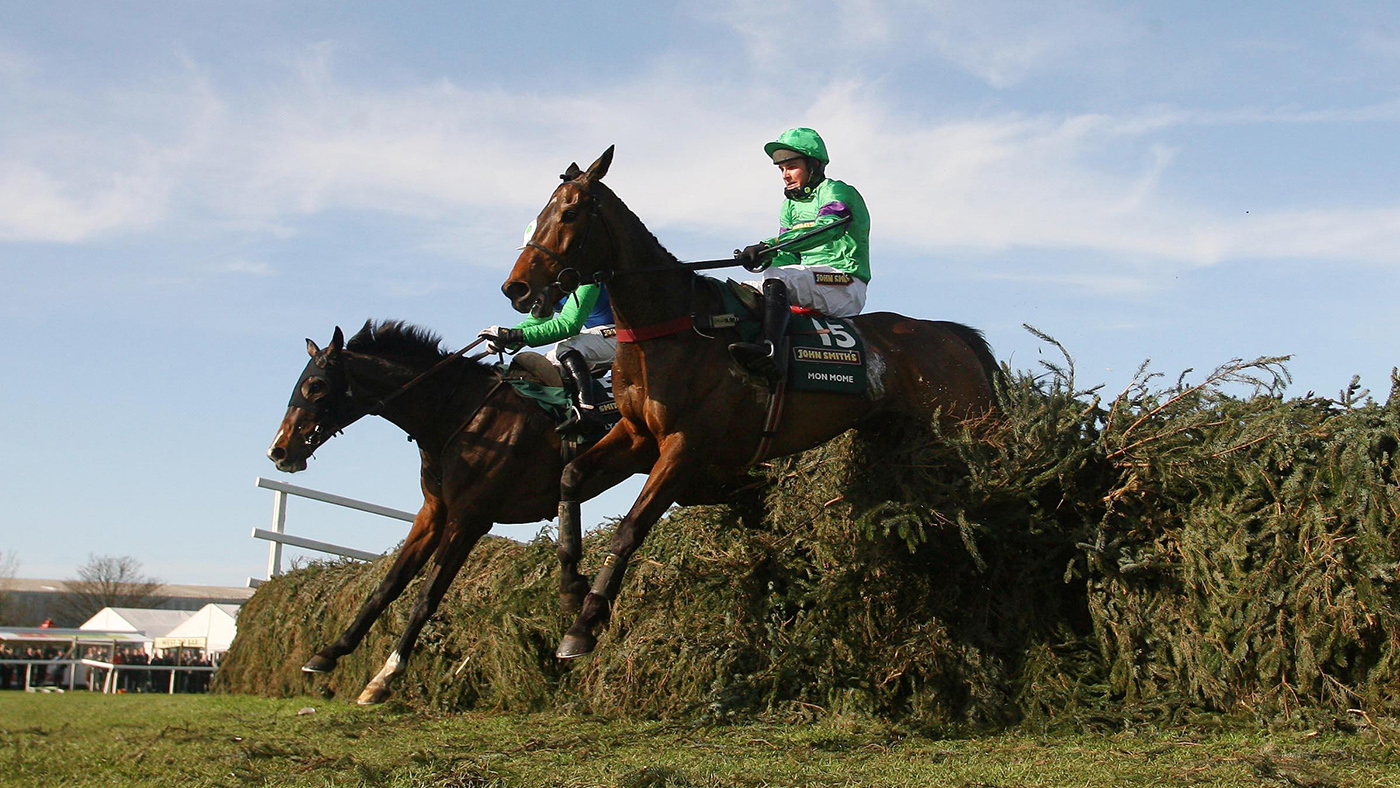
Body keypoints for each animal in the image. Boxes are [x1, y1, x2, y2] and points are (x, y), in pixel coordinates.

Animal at [267, 319, 752, 702]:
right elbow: (388, 585)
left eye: (315, 386)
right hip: (695, 478)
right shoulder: (433, 512)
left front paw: (385, 675)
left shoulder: (469, 518)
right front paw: (328, 652)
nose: (279, 450)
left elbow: (426, 596)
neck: (458, 413)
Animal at [502, 147, 1000, 659]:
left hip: (966, 429)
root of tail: (951, 334)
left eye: (570, 212)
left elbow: (629, 529)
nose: (516, 288)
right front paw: (570, 589)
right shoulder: (637, 434)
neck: (674, 325)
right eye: (541, 212)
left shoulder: (685, 447)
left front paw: (584, 623)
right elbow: (570, 477)